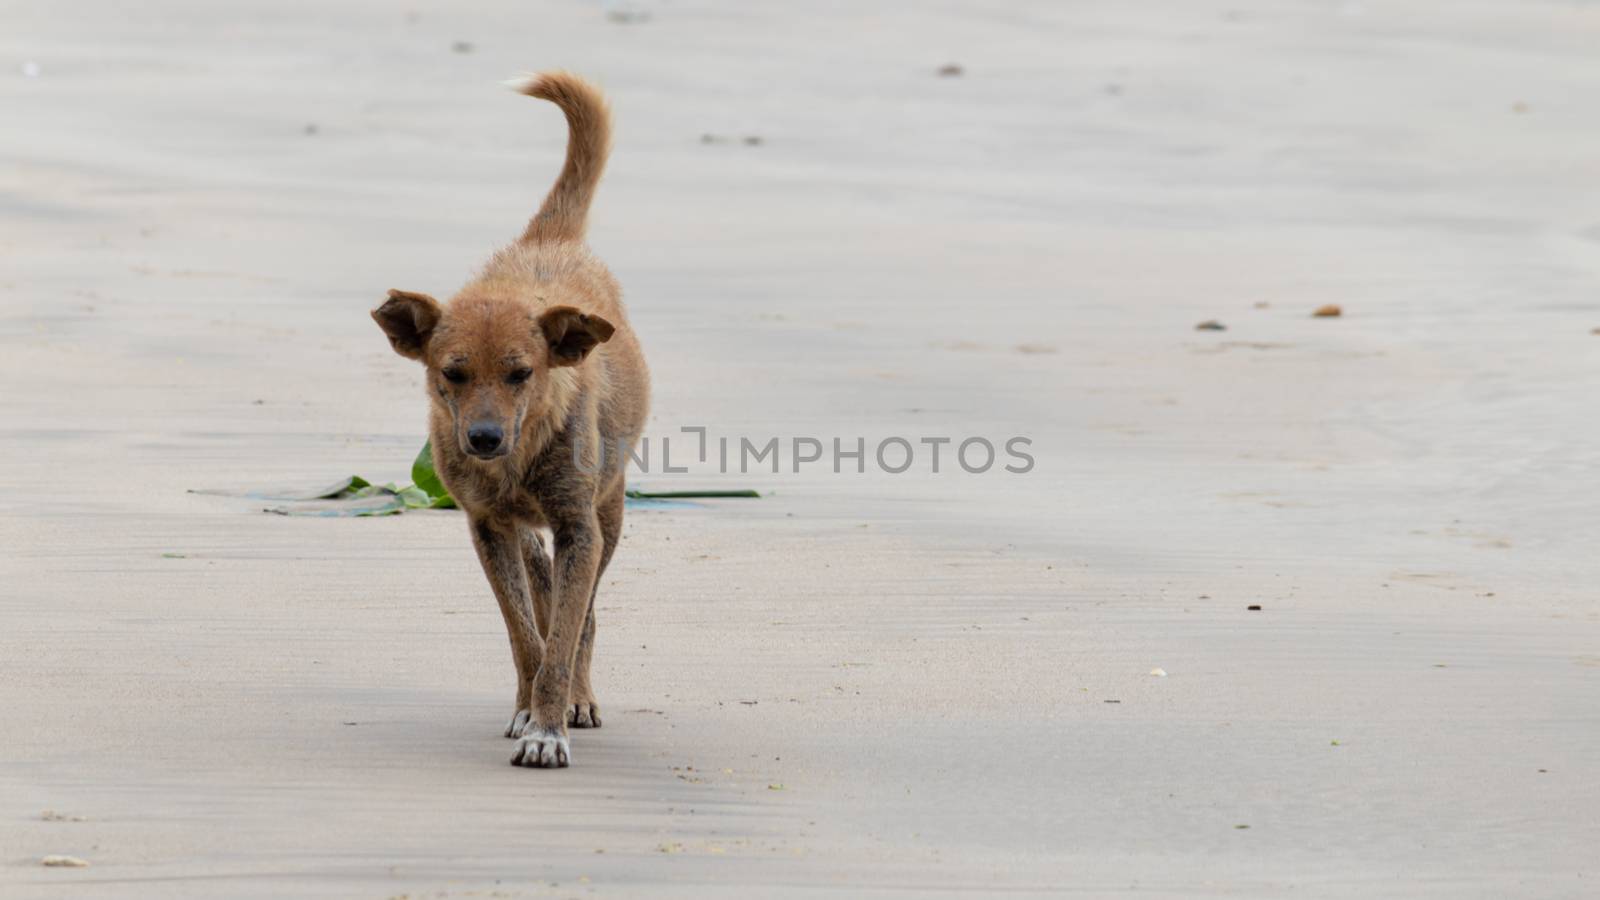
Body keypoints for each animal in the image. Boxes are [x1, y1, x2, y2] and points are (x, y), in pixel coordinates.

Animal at [371, 73, 646, 768]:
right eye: (453, 372)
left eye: (522, 373)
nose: (484, 439)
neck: (522, 455)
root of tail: (549, 242)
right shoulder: (487, 528)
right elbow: (526, 635)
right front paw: (528, 711)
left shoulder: (578, 527)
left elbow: (565, 635)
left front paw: (550, 725)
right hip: (526, 532)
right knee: (543, 588)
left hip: (609, 513)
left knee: (586, 615)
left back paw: (580, 698)